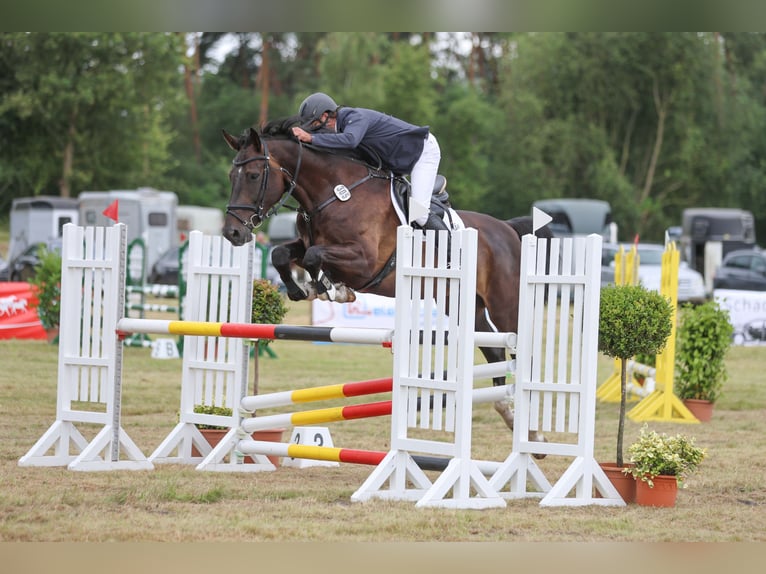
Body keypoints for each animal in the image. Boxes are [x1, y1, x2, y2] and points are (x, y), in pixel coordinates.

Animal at [222, 121, 552, 452]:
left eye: (253, 175)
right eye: (230, 176)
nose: (232, 233)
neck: (333, 194)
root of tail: (508, 228)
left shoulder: (364, 261)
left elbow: (316, 257)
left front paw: (332, 288)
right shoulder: (306, 245)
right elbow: (282, 254)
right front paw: (305, 289)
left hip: (505, 304)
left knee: (521, 353)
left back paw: (533, 433)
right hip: (461, 304)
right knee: (495, 353)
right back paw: (511, 417)